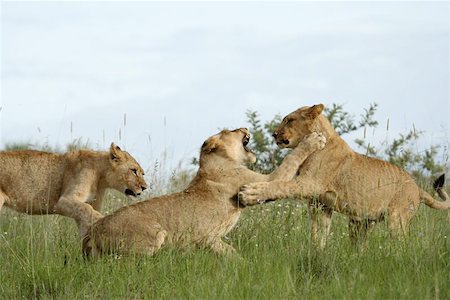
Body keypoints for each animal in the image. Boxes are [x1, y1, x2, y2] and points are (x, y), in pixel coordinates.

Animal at [0, 143, 148, 237]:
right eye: (133, 171)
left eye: (142, 173)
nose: (144, 187)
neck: (100, 176)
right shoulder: (63, 201)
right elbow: (88, 210)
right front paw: (103, 220)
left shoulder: (85, 206)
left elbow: (86, 219)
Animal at [82, 127, 326, 256]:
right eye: (230, 131)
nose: (244, 128)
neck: (216, 161)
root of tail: (92, 232)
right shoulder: (264, 180)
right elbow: (291, 160)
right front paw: (314, 139)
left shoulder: (211, 239)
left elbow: (233, 256)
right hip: (154, 235)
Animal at [237, 104, 448, 247]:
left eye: (289, 120)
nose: (274, 134)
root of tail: (417, 186)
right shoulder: (319, 203)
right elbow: (318, 232)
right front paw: (317, 251)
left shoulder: (308, 183)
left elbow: (280, 185)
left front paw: (250, 193)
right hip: (361, 223)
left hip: (398, 220)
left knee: (403, 246)